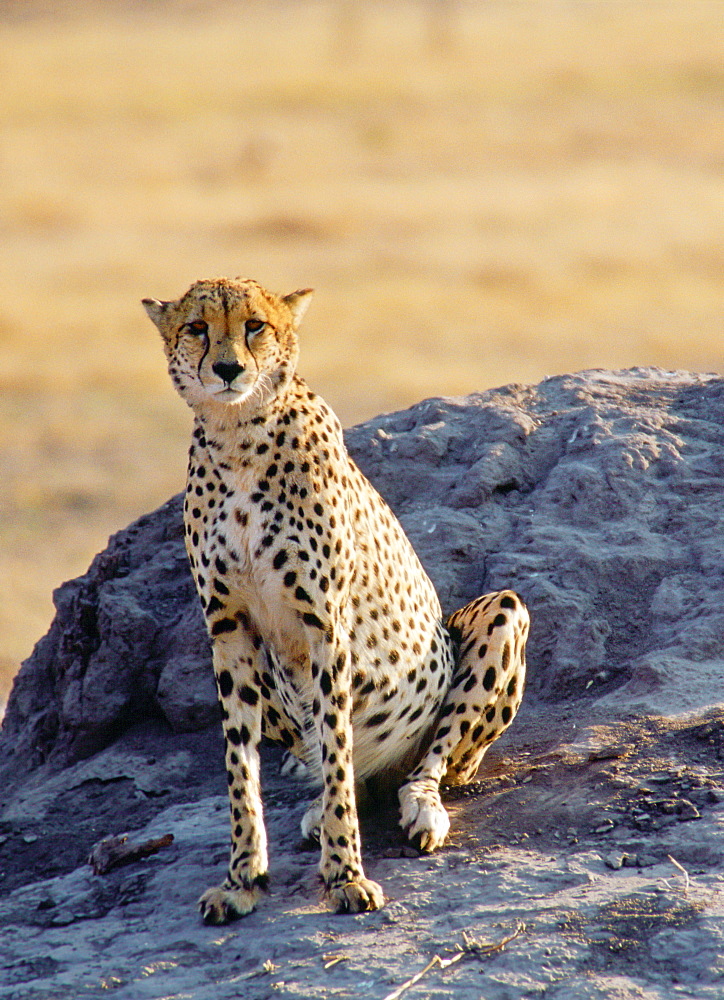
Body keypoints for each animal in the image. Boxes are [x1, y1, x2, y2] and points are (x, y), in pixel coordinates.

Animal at [144, 278, 528, 924]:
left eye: (254, 325)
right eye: (197, 328)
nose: (227, 368)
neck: (238, 435)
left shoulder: (325, 625)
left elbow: (338, 750)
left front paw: (346, 876)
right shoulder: (229, 629)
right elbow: (240, 766)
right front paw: (242, 879)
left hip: (501, 616)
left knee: (430, 763)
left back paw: (419, 808)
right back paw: (314, 811)